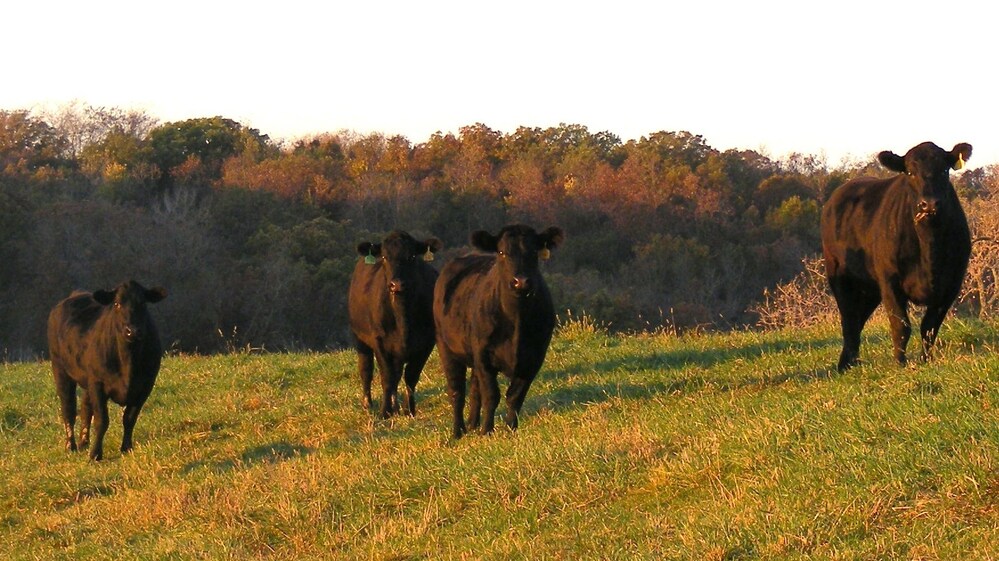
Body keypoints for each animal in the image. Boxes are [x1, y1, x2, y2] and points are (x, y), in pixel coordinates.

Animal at [47, 280, 167, 461]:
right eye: (117, 304)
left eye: (143, 303)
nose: (132, 330)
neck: (128, 363)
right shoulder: (98, 383)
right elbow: (102, 420)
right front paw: (96, 454)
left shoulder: (145, 386)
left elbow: (129, 418)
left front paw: (126, 448)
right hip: (60, 369)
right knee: (68, 408)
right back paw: (71, 446)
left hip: (87, 378)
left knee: (85, 407)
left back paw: (84, 442)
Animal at [348, 231, 442, 419]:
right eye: (384, 257)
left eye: (412, 256)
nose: (396, 284)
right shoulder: (379, 341)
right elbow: (387, 377)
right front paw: (385, 411)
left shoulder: (426, 343)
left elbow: (411, 376)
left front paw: (408, 409)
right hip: (359, 338)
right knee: (366, 369)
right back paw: (368, 404)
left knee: (397, 373)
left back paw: (396, 406)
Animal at [434, 224, 564, 438]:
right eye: (502, 252)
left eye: (534, 252)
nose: (521, 282)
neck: (517, 320)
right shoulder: (484, 355)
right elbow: (492, 395)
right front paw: (487, 430)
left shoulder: (534, 358)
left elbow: (515, 396)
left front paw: (511, 429)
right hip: (446, 347)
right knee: (457, 391)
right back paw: (457, 431)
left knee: (474, 389)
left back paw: (472, 424)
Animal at [821, 141, 972, 371]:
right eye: (909, 172)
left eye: (945, 170)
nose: (929, 204)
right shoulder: (890, 280)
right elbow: (901, 325)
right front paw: (900, 362)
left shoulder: (951, 286)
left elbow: (929, 327)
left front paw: (925, 361)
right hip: (839, 275)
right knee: (849, 320)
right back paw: (845, 364)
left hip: (870, 287)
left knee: (858, 319)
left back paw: (852, 361)